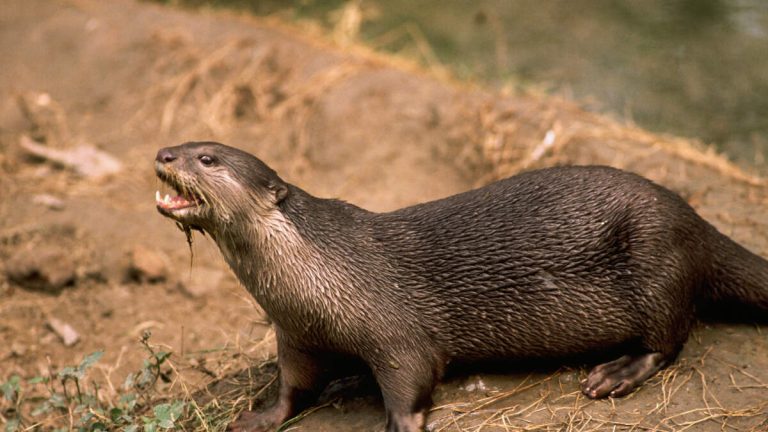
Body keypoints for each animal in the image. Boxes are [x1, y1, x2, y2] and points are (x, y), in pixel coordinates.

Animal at [153, 143, 768, 432]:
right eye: (183, 144)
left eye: (207, 158)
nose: (162, 154)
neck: (317, 273)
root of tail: (693, 218)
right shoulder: (296, 335)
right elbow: (293, 386)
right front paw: (260, 415)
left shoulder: (394, 330)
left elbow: (413, 375)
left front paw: (401, 421)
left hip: (655, 256)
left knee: (670, 337)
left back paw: (616, 373)